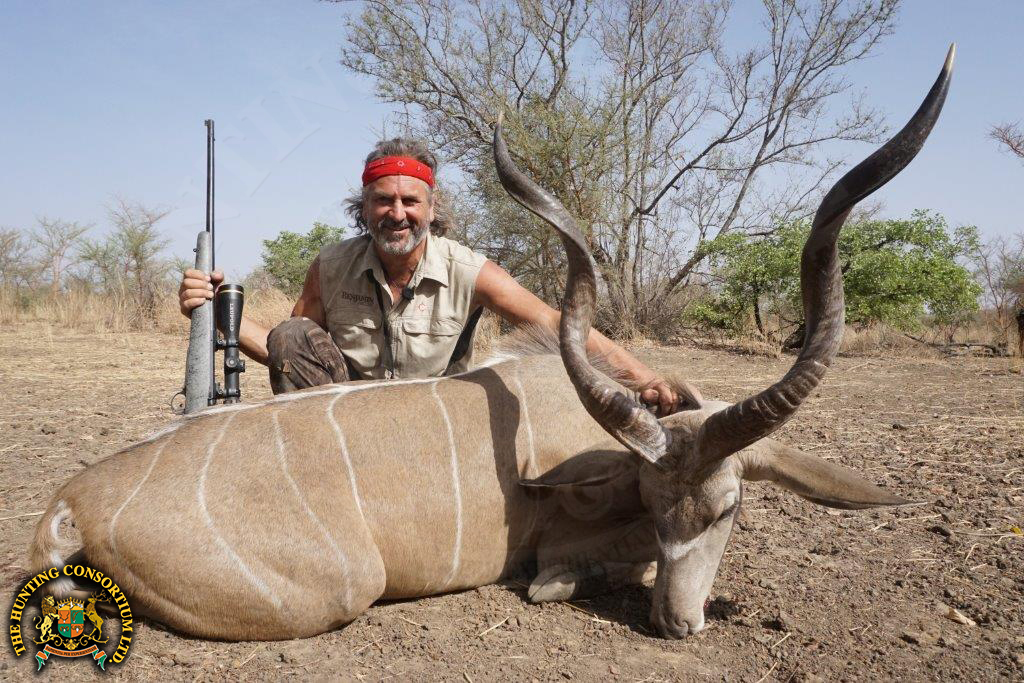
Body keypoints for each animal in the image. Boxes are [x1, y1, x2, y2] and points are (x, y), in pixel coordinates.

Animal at [29, 48, 953, 641]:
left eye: (723, 509)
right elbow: (568, 572)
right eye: (664, 508)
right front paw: (560, 581)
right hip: (336, 591)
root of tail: (72, 500)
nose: (677, 625)